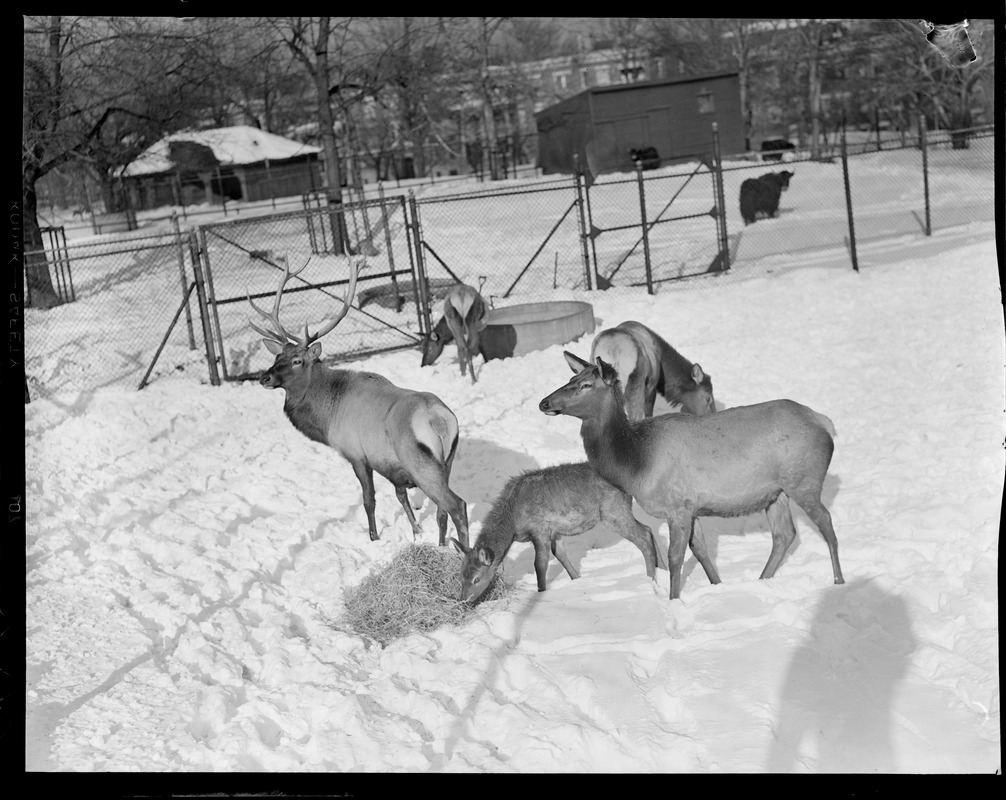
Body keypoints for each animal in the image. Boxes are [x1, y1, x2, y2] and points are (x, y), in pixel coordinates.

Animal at [251, 259, 470, 547]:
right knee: (442, 512)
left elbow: (369, 500)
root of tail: (440, 420)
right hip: (447, 461)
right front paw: (415, 532)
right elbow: (401, 496)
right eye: (277, 357)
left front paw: (373, 538)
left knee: (457, 505)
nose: (264, 377)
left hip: (421, 463)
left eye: (297, 360)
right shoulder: (390, 466)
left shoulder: (356, 453)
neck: (326, 415)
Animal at [450, 460, 655, 603]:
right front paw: (576, 579)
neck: (513, 522)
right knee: (649, 529)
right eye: (461, 574)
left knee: (643, 535)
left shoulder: (539, 528)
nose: (463, 599)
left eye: (477, 579)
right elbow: (561, 555)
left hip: (613, 512)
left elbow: (540, 564)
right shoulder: (555, 532)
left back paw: (651, 578)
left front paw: (541, 592)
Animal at [539, 352, 845, 599]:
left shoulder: (677, 506)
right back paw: (762, 580)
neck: (635, 463)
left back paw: (838, 581)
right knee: (784, 534)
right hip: (775, 493)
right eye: (571, 377)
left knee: (826, 524)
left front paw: (674, 600)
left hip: (804, 481)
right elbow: (700, 550)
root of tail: (825, 423)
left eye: (586, 385)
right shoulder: (692, 507)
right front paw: (717, 586)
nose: (544, 402)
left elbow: (675, 558)